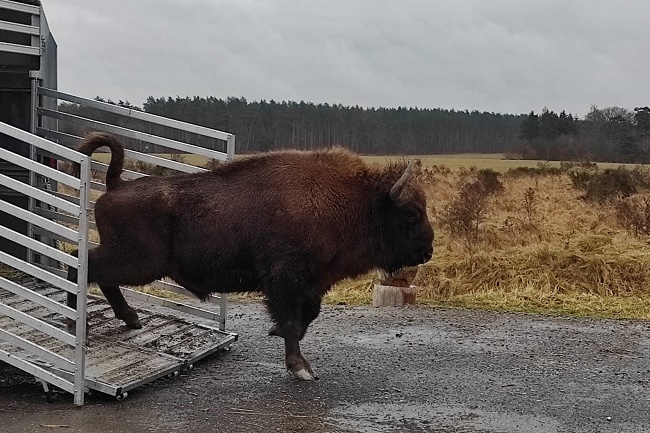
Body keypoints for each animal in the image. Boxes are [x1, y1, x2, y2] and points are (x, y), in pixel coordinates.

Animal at [66, 132, 432, 378]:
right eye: (411, 213)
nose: (428, 250)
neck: (358, 203)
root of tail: (116, 185)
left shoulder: (311, 283)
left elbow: (307, 315)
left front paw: (280, 338)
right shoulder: (286, 279)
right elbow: (292, 319)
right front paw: (300, 368)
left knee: (91, 270)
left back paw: (129, 319)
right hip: (139, 262)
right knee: (83, 267)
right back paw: (77, 323)